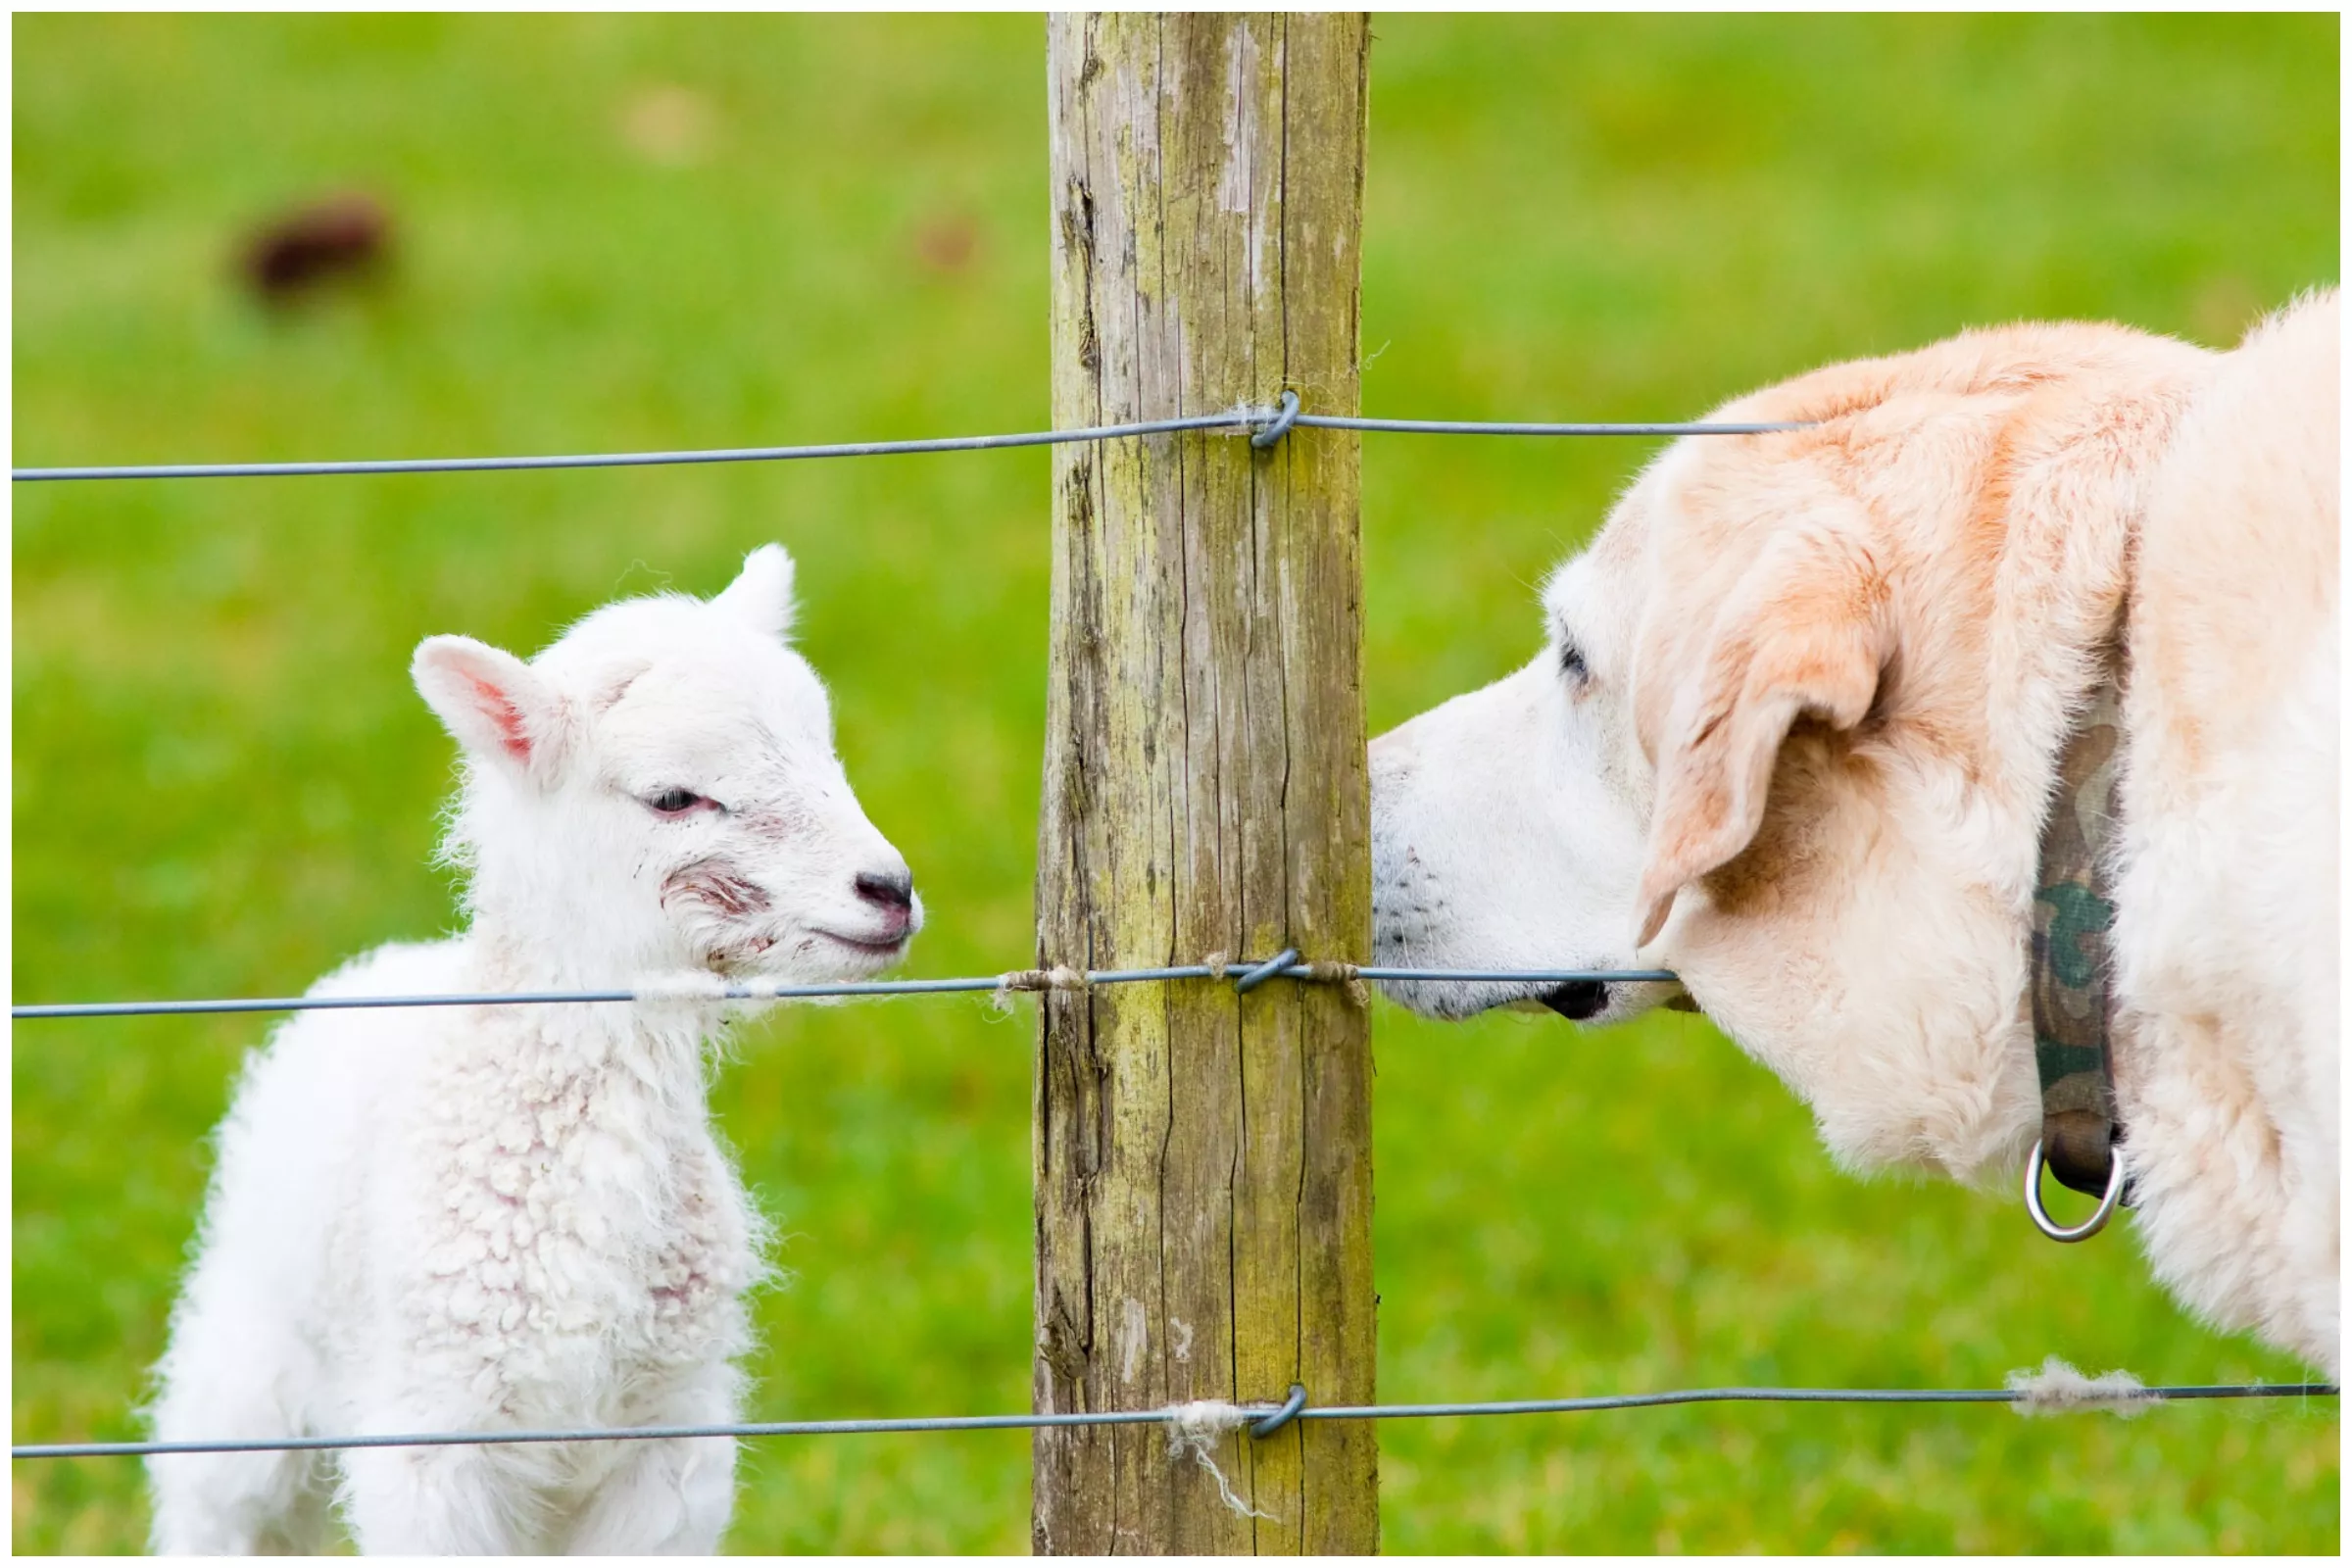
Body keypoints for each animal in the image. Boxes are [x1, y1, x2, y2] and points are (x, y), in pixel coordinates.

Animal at [145, 544, 922, 1554]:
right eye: (675, 797)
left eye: (828, 753)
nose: (890, 890)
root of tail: (394, 959)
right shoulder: (431, 1440)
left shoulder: (670, 1443)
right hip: (244, 1372)